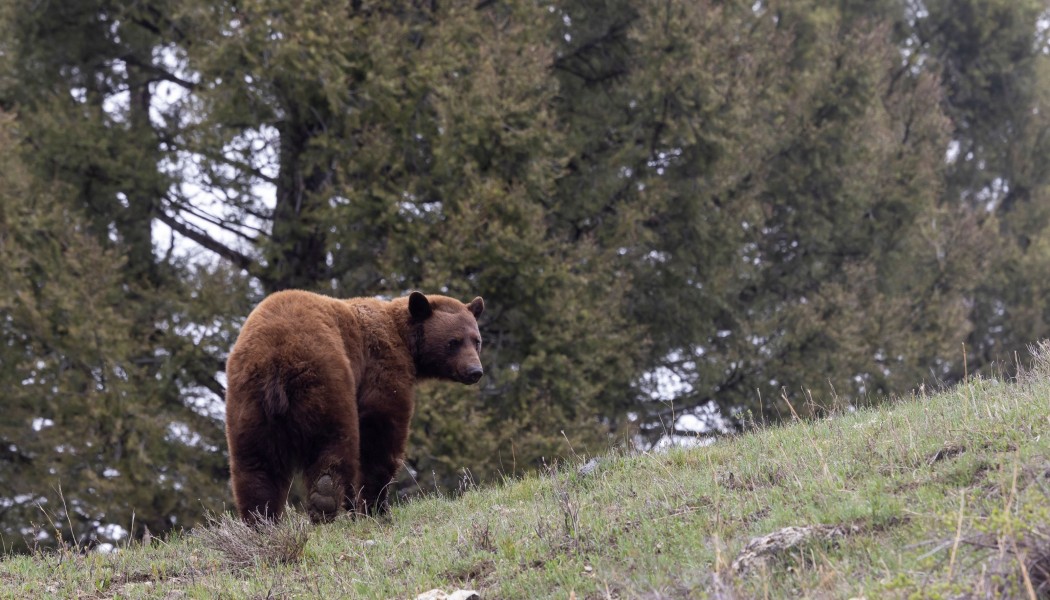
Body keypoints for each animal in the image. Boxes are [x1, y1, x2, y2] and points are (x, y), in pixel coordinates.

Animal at [224, 290, 484, 523]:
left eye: (476, 341)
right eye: (453, 342)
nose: (475, 371)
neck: (405, 341)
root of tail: (276, 359)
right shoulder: (382, 367)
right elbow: (380, 434)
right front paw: (375, 508)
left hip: (248, 402)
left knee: (256, 462)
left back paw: (260, 518)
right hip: (325, 378)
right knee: (334, 439)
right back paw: (325, 496)